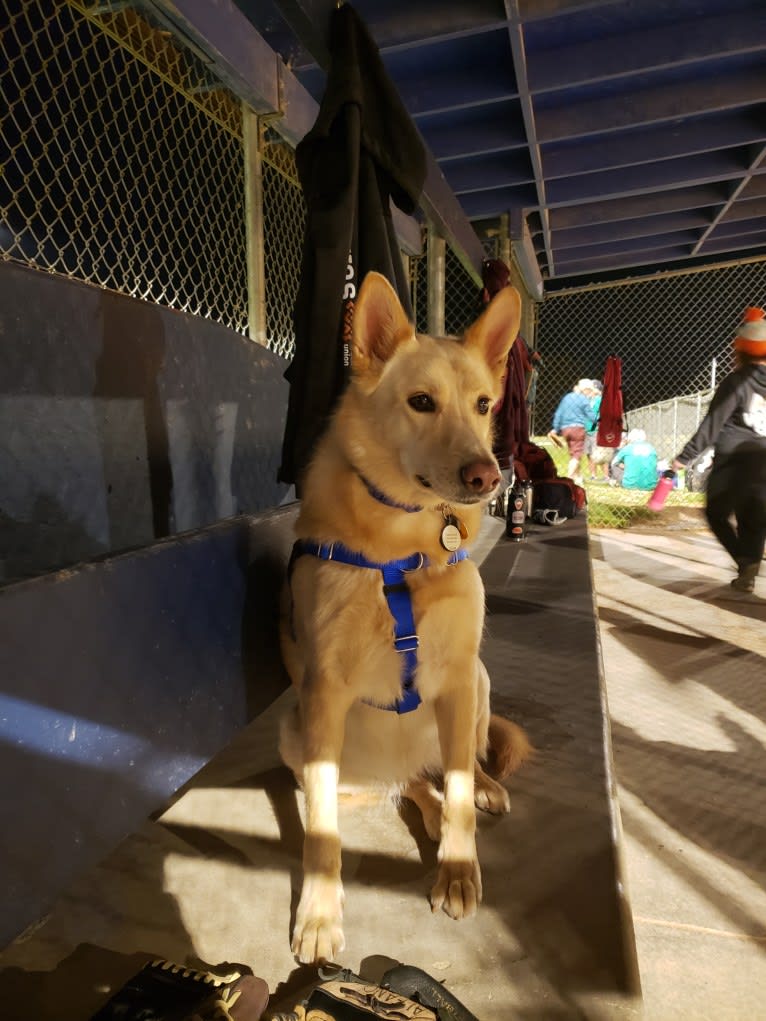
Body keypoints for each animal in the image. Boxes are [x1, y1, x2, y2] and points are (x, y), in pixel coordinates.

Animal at [279, 271, 535, 963]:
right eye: (421, 401)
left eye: (483, 405)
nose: (487, 475)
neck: (403, 546)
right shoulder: (323, 691)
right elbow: (322, 834)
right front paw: (319, 912)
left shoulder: (456, 678)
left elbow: (462, 799)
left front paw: (458, 868)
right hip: (297, 738)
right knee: (410, 788)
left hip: (478, 684)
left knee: (455, 771)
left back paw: (479, 788)